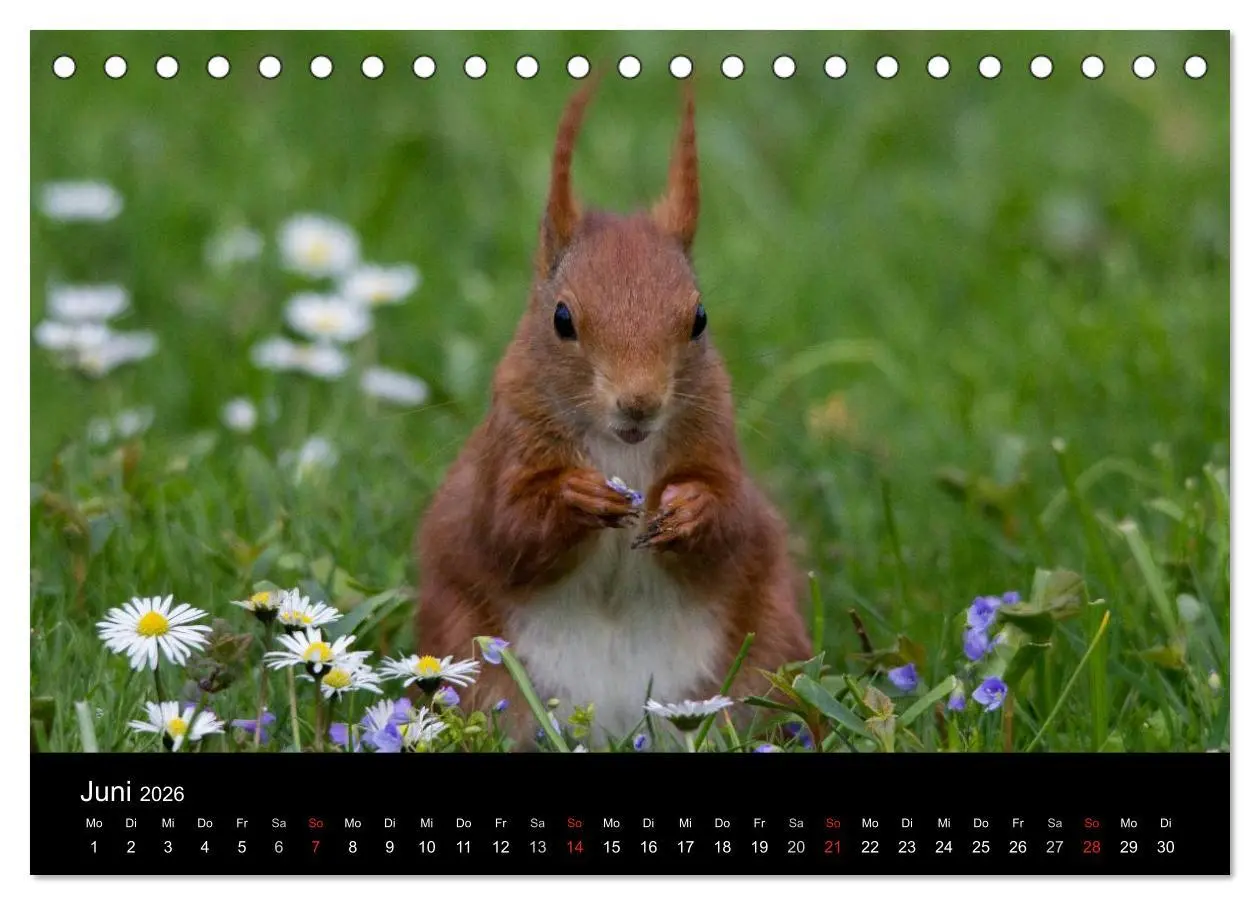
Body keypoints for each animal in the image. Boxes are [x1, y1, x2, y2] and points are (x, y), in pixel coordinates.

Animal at [415, 83, 812, 745]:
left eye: (699, 318)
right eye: (561, 319)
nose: (640, 403)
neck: (622, 447)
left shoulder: (715, 442)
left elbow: (732, 520)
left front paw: (689, 510)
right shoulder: (507, 447)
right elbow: (505, 527)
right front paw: (579, 498)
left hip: (769, 650)